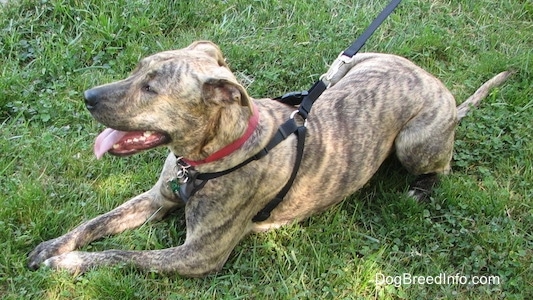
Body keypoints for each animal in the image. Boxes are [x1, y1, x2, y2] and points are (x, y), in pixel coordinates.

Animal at [27, 41, 510, 276]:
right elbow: (96, 223)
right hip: (351, 68)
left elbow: (121, 254)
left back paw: (419, 190)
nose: (87, 96)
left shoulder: (197, 255)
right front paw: (55, 246)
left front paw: (68, 264)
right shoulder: (155, 199)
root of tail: (440, 88)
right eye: (136, 69)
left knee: (440, 167)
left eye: (151, 87)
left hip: (414, 143)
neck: (208, 156)